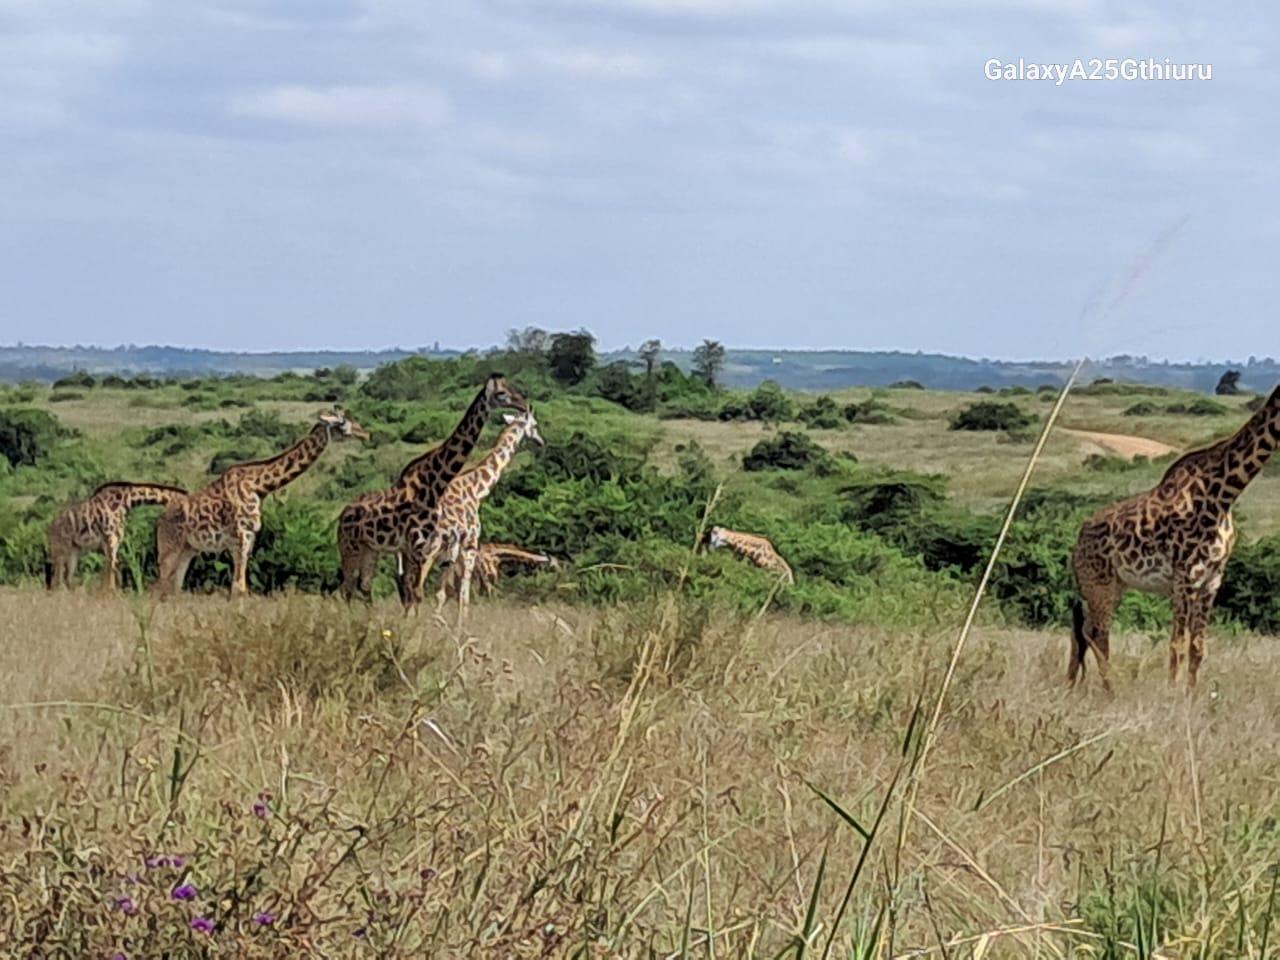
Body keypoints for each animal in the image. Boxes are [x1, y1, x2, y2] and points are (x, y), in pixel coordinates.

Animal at [47, 481, 187, 591]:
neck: (126, 501)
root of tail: (51, 527)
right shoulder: (110, 540)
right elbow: (111, 569)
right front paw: (109, 595)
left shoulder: (114, 542)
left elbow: (112, 568)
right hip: (60, 549)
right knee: (56, 579)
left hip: (73, 551)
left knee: (66, 578)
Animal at [154, 410, 368, 597]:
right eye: (342, 423)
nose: (365, 433)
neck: (259, 486)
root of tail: (161, 518)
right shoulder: (240, 536)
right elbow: (238, 588)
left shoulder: (250, 538)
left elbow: (241, 588)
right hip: (169, 548)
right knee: (159, 588)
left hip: (188, 550)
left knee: (173, 589)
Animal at [337, 374, 528, 602]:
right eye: (501, 393)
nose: (524, 404)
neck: (434, 484)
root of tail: (342, 515)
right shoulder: (418, 546)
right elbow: (416, 593)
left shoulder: (420, 548)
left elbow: (416, 594)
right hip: (350, 547)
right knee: (347, 589)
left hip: (370, 549)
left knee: (363, 586)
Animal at [398, 409, 544, 615]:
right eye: (535, 425)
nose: (541, 441)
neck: (477, 490)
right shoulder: (470, 544)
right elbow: (464, 597)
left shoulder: (453, 550)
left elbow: (443, 594)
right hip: (428, 549)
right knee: (416, 587)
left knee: (407, 586)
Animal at [1071, 386, 1280, 692]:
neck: (1224, 495)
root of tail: (1076, 543)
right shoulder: (1184, 578)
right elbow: (1177, 646)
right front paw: (1172, 696)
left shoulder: (1212, 580)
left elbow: (1198, 647)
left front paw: (1191, 697)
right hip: (1099, 585)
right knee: (1097, 633)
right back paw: (1111, 691)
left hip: (1112, 586)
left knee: (1082, 629)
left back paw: (1070, 684)